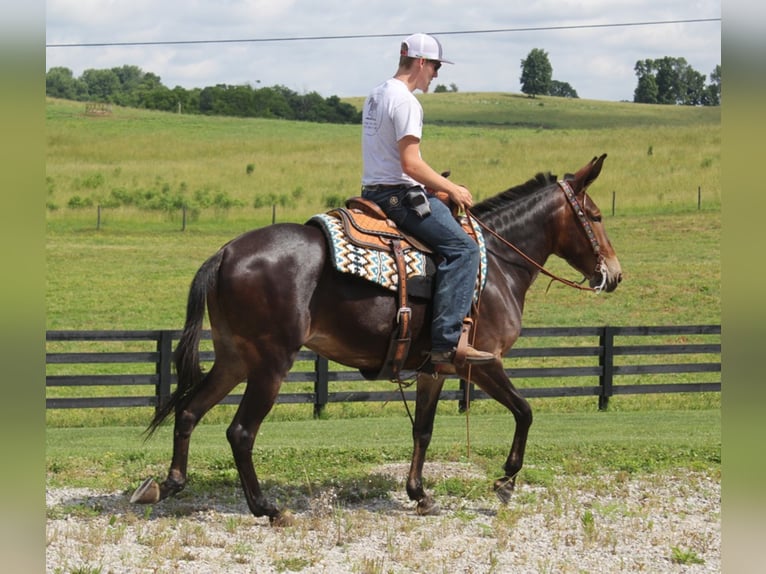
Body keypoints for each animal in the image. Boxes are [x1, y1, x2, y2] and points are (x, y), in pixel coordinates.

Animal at [132, 153, 624, 528]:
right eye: (596, 216)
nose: (615, 274)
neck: (498, 264)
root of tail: (227, 251)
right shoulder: (481, 362)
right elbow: (525, 411)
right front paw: (505, 482)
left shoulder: (435, 369)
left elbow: (423, 430)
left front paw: (419, 494)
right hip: (270, 364)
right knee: (240, 432)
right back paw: (267, 508)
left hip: (235, 357)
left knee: (189, 411)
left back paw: (166, 484)